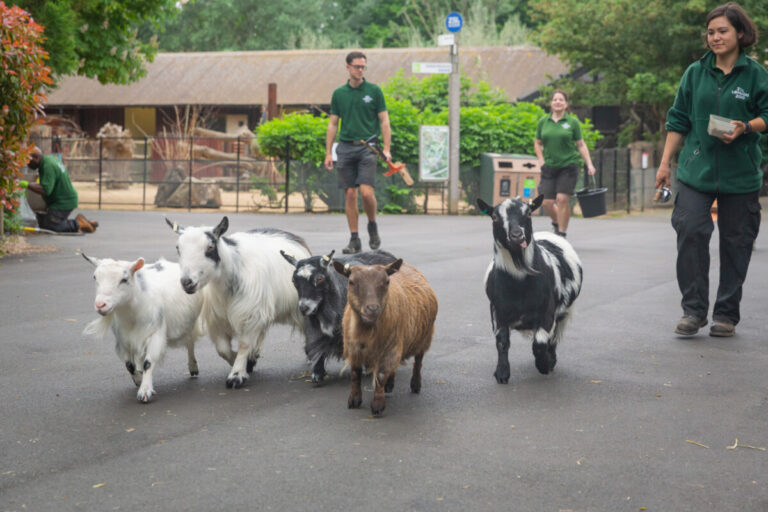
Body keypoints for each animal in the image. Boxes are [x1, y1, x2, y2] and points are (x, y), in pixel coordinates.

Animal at [82, 254, 202, 402]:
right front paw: (138, 380)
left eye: (124, 279)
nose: (100, 305)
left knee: (190, 343)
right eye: (95, 277)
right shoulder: (123, 340)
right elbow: (129, 365)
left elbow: (148, 362)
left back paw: (193, 367)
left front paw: (145, 391)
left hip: (189, 323)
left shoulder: (155, 334)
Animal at [166, 216, 310, 388]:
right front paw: (244, 363)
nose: (187, 282)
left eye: (210, 247)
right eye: (178, 248)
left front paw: (236, 375)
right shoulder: (218, 320)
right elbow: (222, 349)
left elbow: (244, 344)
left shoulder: (251, 314)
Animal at [280, 248, 396, 384]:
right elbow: (317, 346)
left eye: (319, 279)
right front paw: (317, 373)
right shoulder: (315, 328)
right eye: (294, 281)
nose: (304, 308)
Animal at [332, 260, 438, 416]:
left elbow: (381, 375)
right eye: (351, 282)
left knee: (418, 361)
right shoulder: (354, 350)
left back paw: (415, 384)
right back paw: (390, 384)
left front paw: (377, 406)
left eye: (387, 282)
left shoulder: (390, 348)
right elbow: (355, 374)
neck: (367, 330)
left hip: (424, 337)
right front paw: (354, 400)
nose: (372, 309)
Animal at [476, 196, 580, 384]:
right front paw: (502, 373)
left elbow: (539, 344)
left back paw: (551, 359)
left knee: (554, 338)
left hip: (563, 313)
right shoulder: (497, 311)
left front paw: (544, 365)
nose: (517, 235)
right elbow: (502, 341)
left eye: (529, 213)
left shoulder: (548, 313)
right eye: (494, 217)